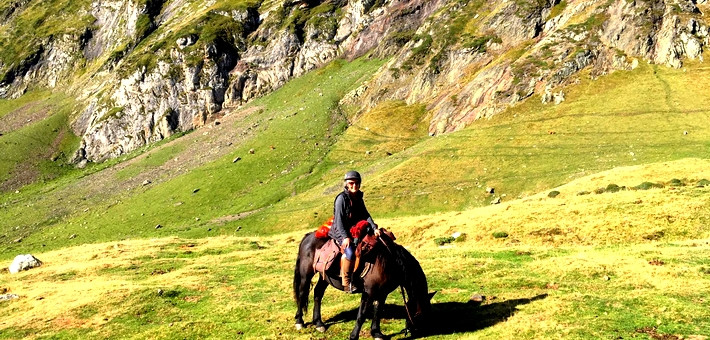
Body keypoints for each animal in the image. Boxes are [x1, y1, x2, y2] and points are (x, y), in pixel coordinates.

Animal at [290, 231, 432, 340]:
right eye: (419, 315)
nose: (422, 332)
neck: (390, 262)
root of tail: (308, 236)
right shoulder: (369, 292)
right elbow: (361, 314)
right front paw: (354, 336)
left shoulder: (382, 293)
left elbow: (377, 311)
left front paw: (377, 333)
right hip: (306, 275)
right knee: (302, 294)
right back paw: (299, 322)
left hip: (325, 277)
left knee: (318, 293)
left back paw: (319, 323)